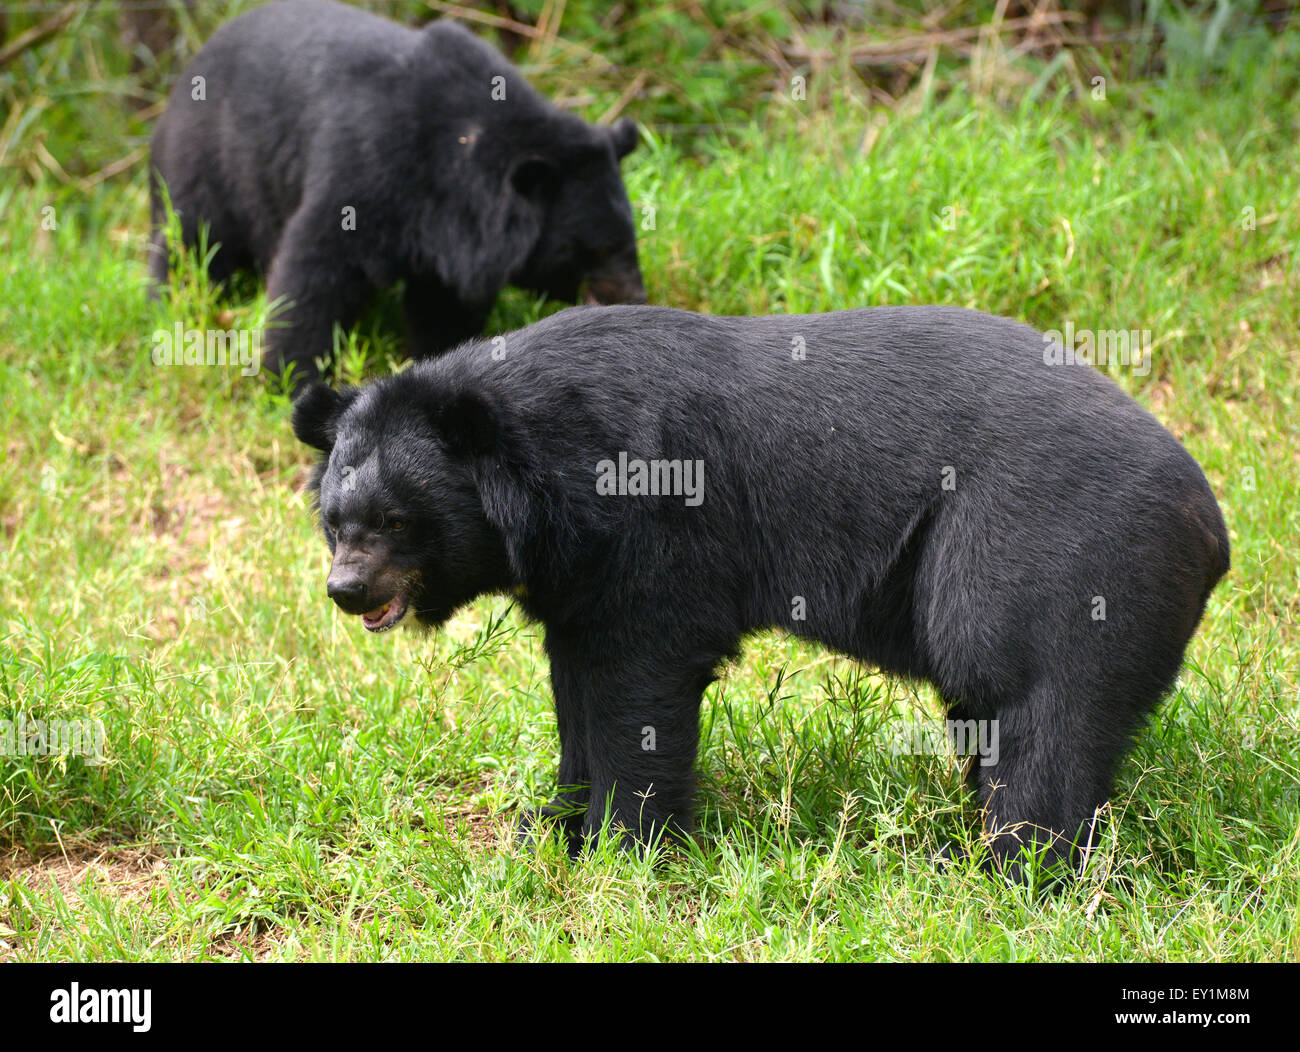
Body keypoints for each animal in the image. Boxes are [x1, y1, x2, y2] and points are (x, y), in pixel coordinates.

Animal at [149, 0, 647, 384]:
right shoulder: (366, 167)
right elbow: (315, 269)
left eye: (630, 239)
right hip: (208, 160)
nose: (639, 297)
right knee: (190, 242)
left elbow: (443, 305)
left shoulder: (451, 233)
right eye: (599, 249)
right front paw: (289, 379)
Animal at [292, 304, 1227, 879]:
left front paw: (624, 847)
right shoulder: (573, 575)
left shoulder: (651, 526)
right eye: (335, 521)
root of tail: (1211, 524)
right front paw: (551, 824)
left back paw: (1005, 868)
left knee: (1036, 709)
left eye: (397, 520)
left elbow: (639, 676)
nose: (347, 591)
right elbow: (576, 683)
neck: (541, 466)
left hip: (1052, 554)